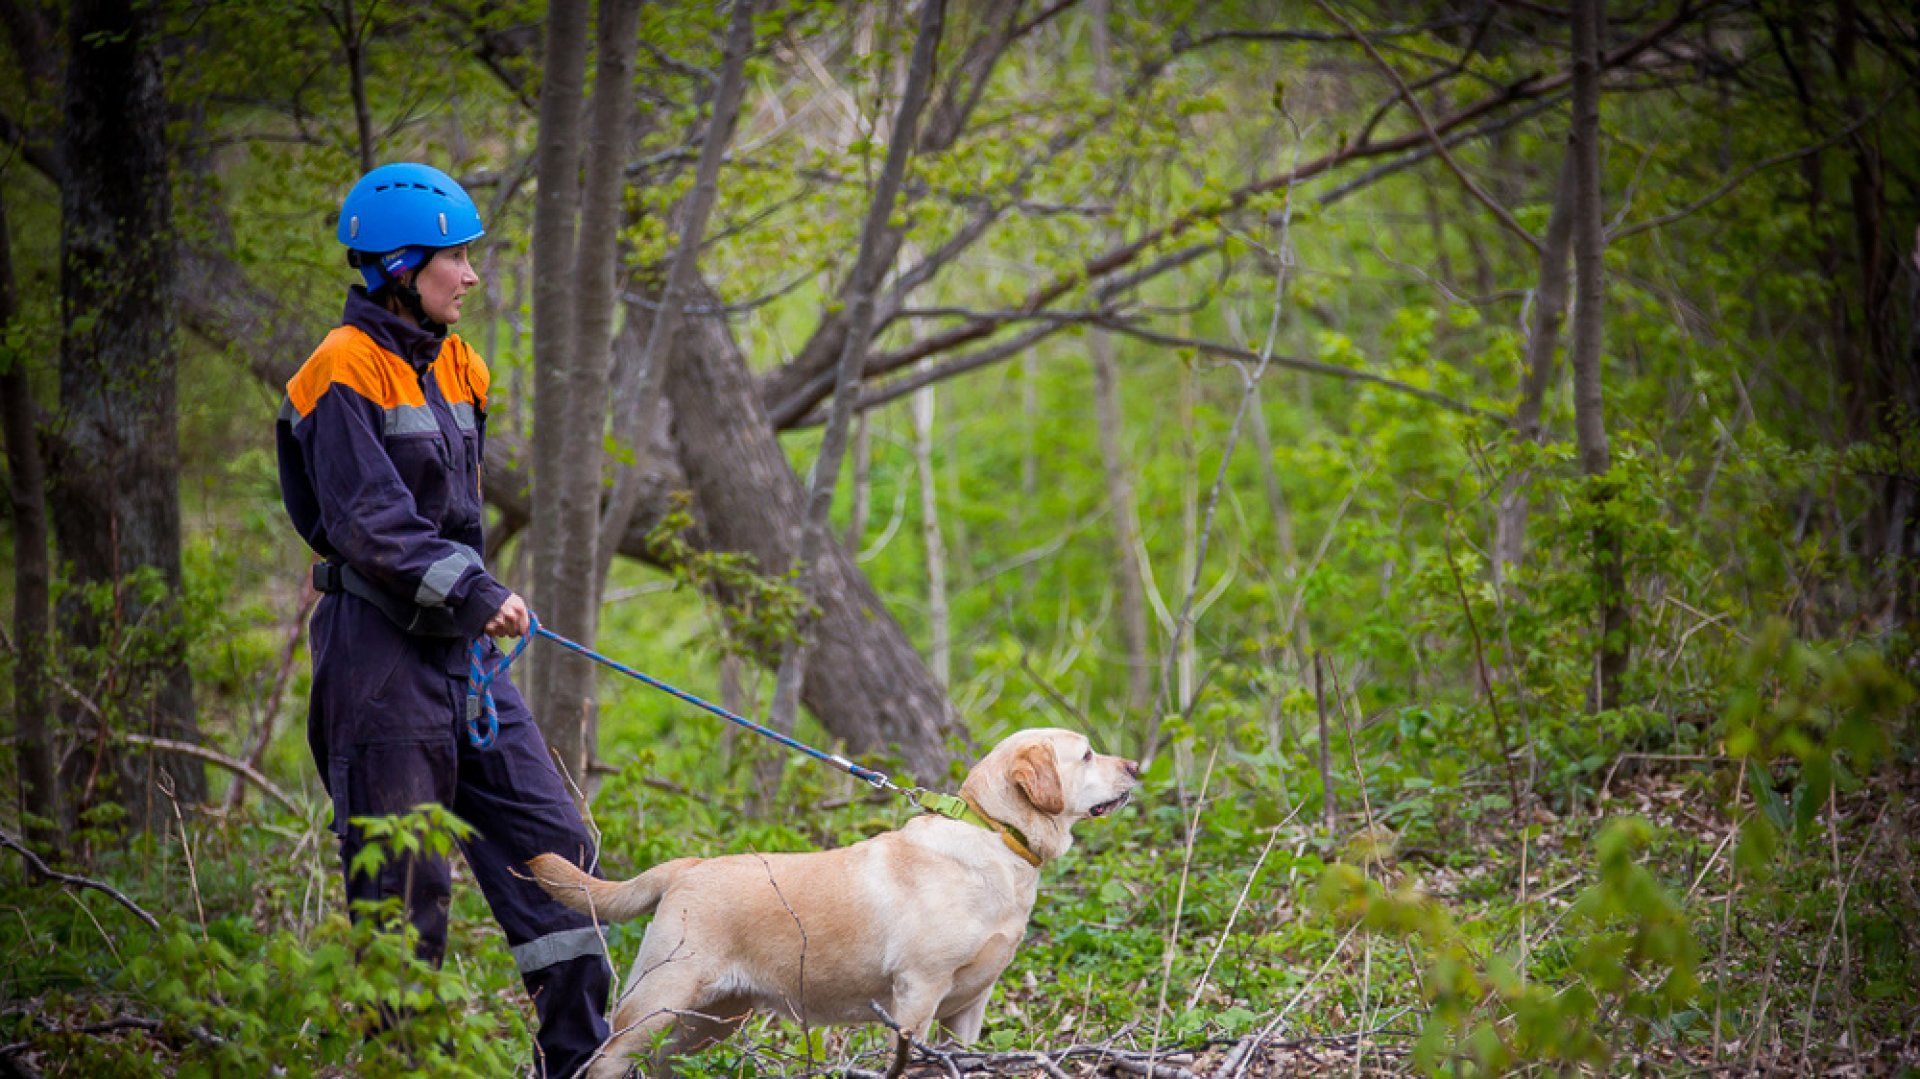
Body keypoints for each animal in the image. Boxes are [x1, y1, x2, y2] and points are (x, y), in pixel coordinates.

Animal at [526, 721, 1136, 1075]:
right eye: (1086, 755)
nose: (1134, 766)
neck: (996, 834)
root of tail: (688, 867)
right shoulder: (917, 994)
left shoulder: (969, 1006)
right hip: (659, 1001)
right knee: (606, 1058)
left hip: (710, 1019)